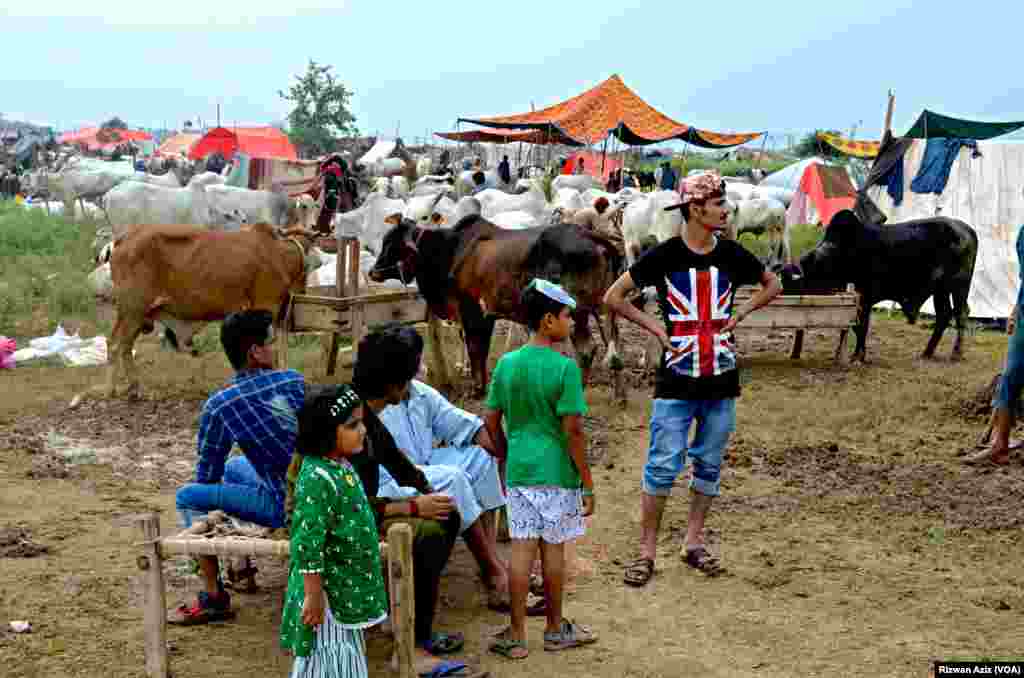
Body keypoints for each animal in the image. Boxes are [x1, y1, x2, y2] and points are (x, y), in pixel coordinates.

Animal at [96, 224, 319, 399]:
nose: (303, 291)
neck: (279, 253)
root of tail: (123, 239)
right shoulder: (267, 306)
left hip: (136, 314)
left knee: (124, 345)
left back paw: (134, 388)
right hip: (132, 309)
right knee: (115, 344)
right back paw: (111, 390)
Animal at [786, 209, 978, 364]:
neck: (837, 254)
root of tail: (968, 230)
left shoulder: (864, 297)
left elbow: (861, 327)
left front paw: (857, 356)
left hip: (959, 286)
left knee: (961, 314)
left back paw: (956, 353)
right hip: (940, 290)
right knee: (944, 315)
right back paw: (927, 352)